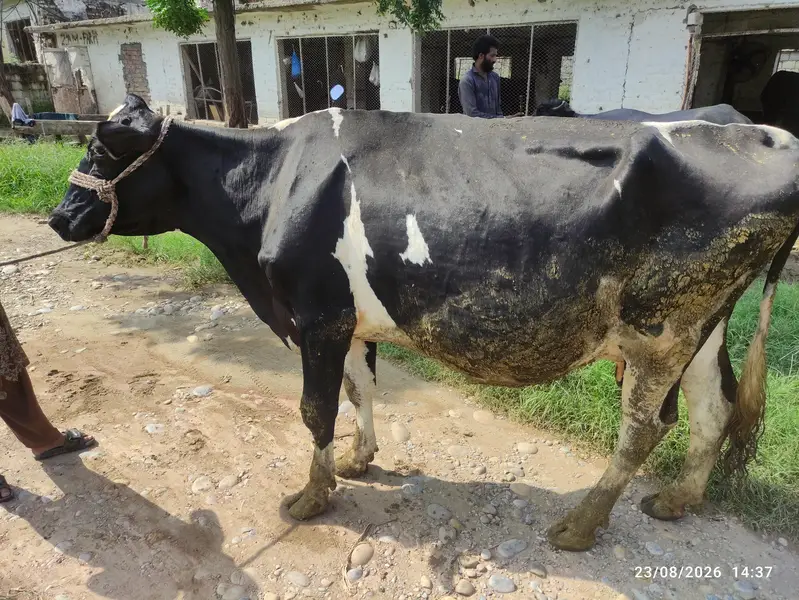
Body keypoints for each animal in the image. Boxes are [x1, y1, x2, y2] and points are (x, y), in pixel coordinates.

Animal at [48, 94, 799, 552]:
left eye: (106, 151)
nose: (59, 218)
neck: (270, 183)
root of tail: (757, 130)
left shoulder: (316, 313)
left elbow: (315, 407)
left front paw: (311, 497)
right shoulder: (345, 320)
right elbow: (358, 389)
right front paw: (359, 459)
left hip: (659, 327)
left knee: (645, 426)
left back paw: (579, 526)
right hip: (703, 324)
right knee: (711, 409)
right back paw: (677, 500)